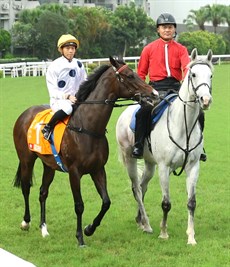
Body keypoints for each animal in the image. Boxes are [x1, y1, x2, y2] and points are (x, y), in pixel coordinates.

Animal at [13, 56, 156, 247]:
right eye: (129, 75)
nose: (154, 93)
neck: (87, 128)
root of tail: (25, 114)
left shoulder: (98, 169)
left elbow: (106, 202)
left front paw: (89, 229)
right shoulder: (74, 172)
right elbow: (79, 205)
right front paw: (80, 237)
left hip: (49, 164)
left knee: (43, 192)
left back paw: (44, 228)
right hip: (26, 160)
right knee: (26, 187)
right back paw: (26, 222)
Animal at [116, 48, 213, 245]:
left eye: (211, 75)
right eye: (193, 74)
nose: (205, 100)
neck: (183, 126)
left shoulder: (193, 167)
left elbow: (191, 202)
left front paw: (191, 237)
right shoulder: (163, 167)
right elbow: (166, 203)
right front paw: (163, 233)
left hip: (150, 164)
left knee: (143, 186)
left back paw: (141, 220)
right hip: (130, 159)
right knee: (136, 188)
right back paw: (146, 224)